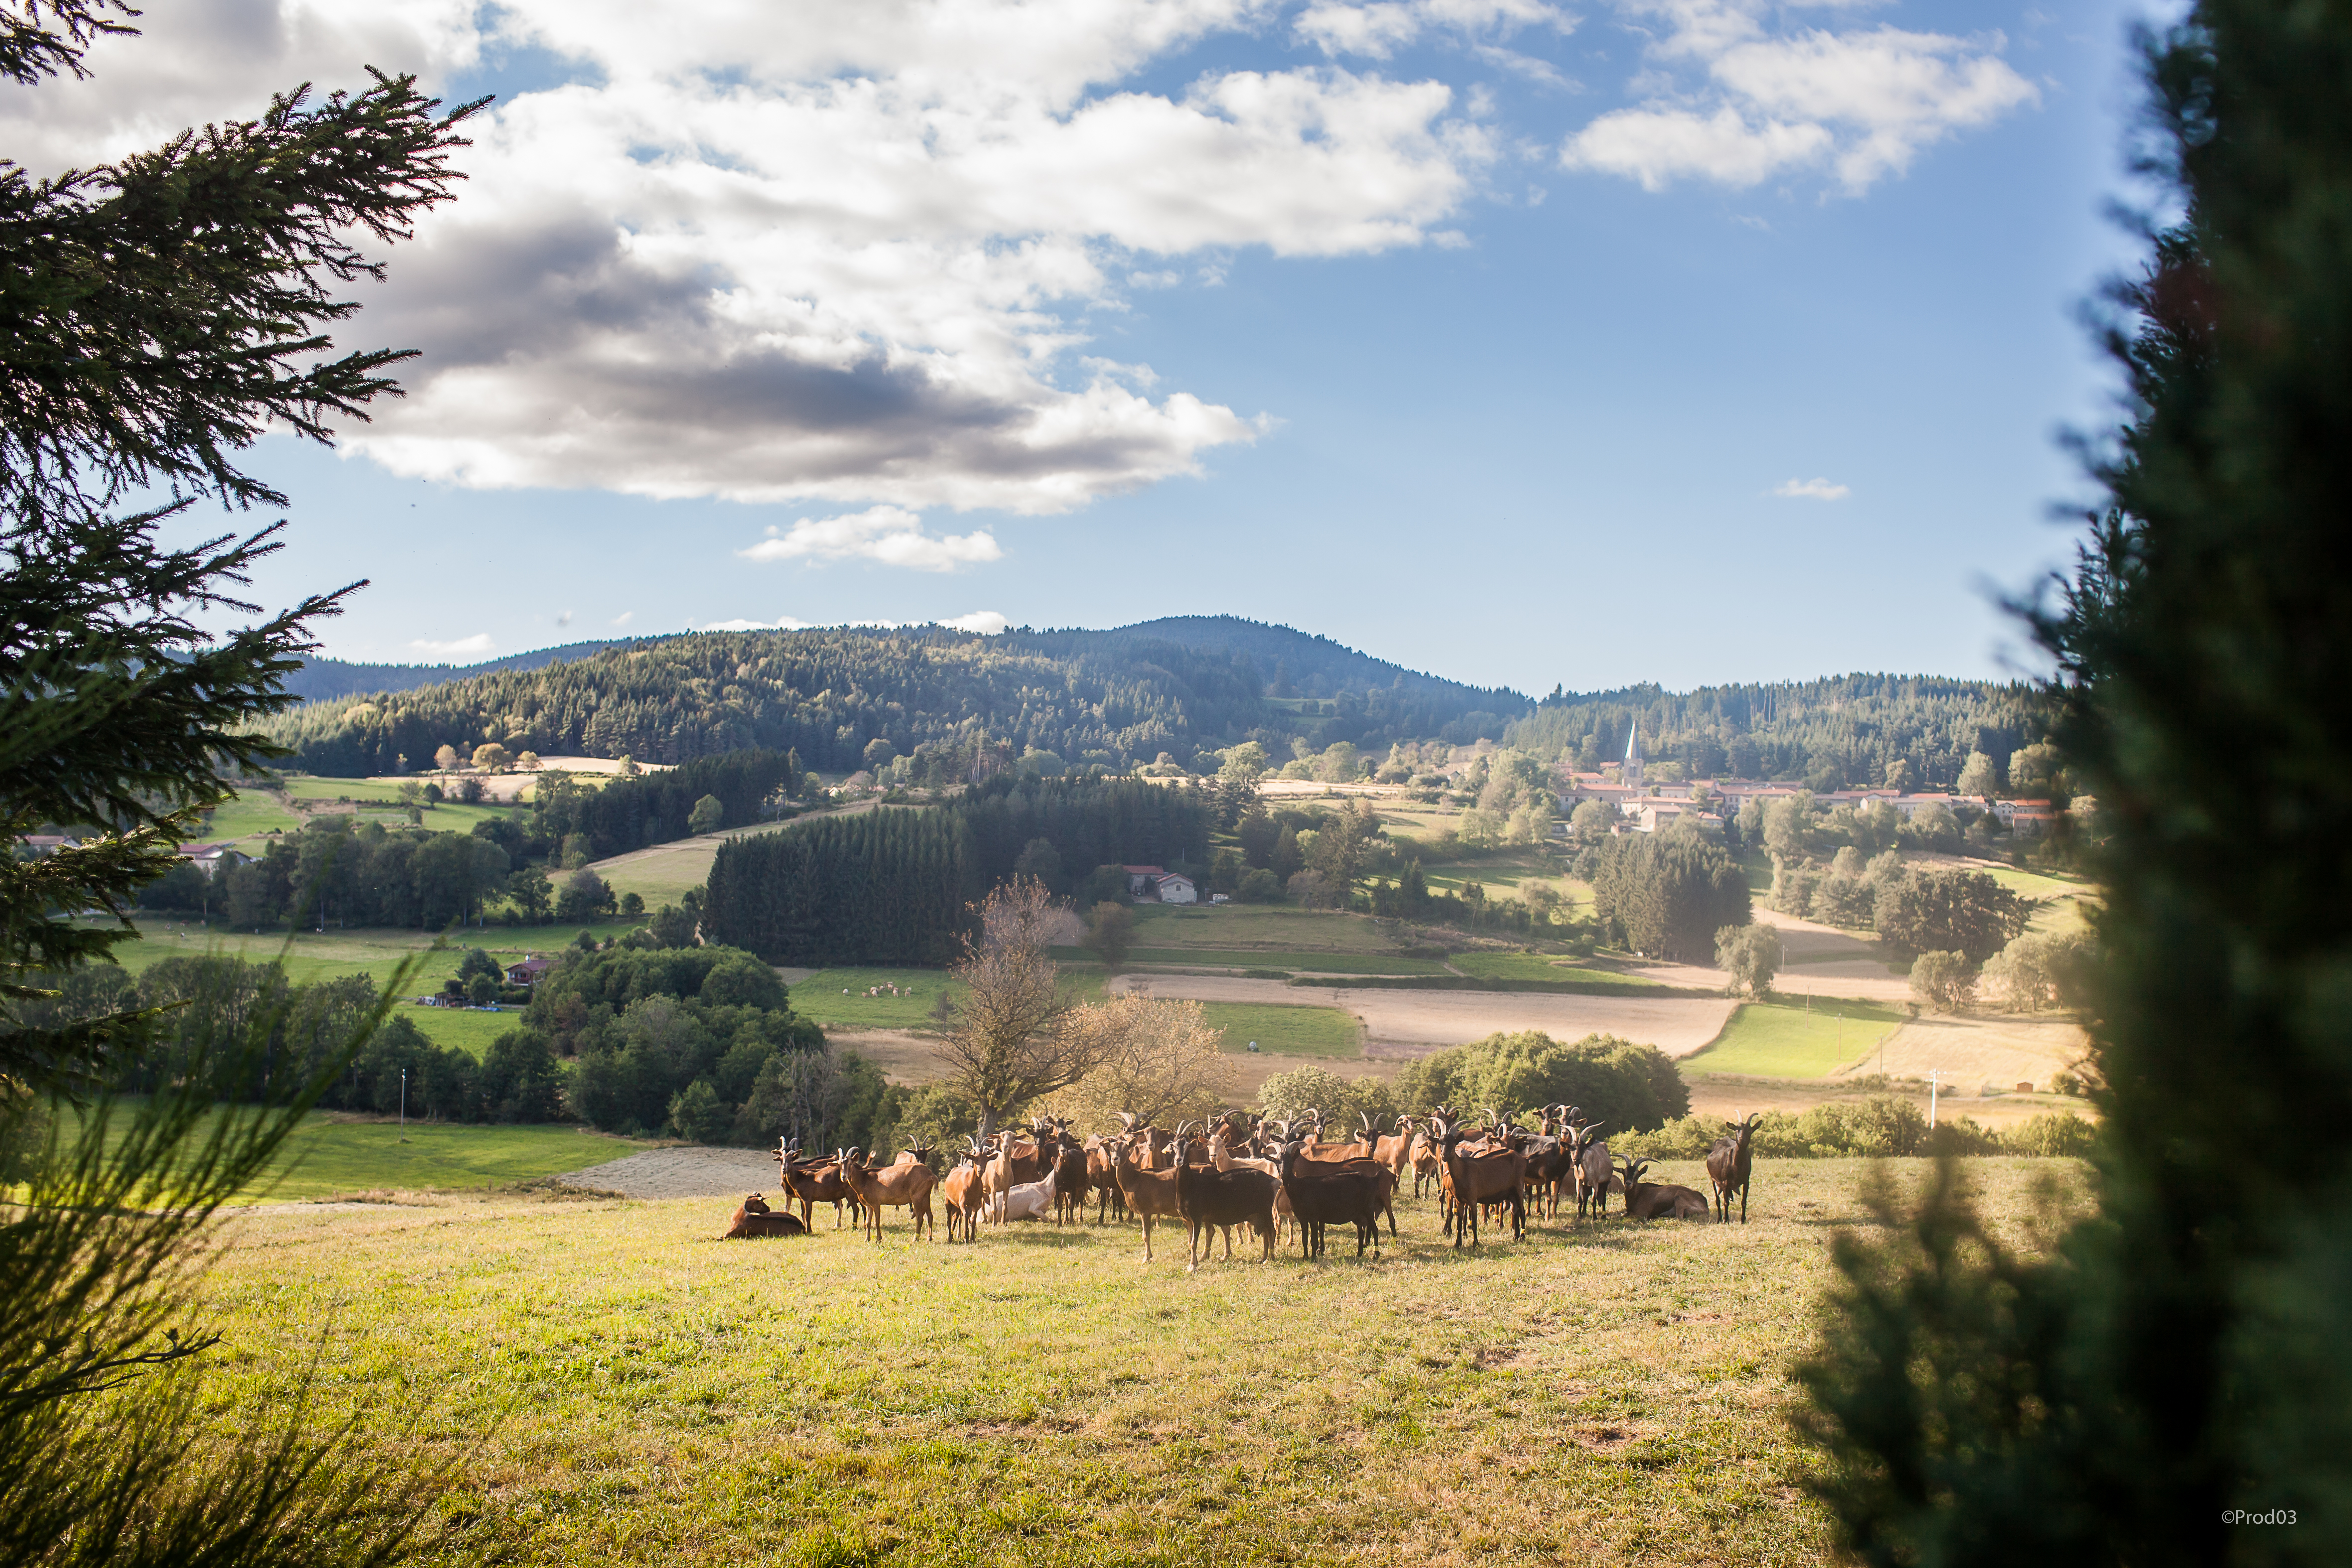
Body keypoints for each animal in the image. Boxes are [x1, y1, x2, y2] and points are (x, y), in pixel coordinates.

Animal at [1703, 1114, 1759, 1222]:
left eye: (1749, 1130)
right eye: (1737, 1130)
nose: (1741, 1139)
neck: (1736, 1166)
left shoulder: (1746, 1181)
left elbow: (1744, 1201)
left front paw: (1743, 1220)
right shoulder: (1725, 1182)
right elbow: (1726, 1202)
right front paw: (1726, 1220)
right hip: (1714, 1180)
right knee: (1718, 1200)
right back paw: (1719, 1219)